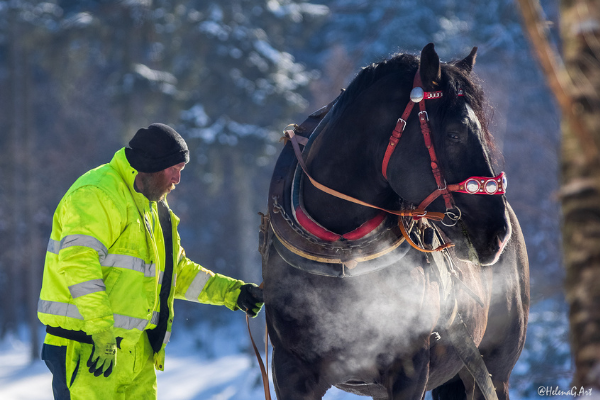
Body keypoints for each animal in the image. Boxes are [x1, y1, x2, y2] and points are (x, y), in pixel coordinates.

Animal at [262, 43, 528, 400]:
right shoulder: (290, 370)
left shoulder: (409, 368)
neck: (343, 251)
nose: (496, 233)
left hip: (492, 371)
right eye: (454, 134)